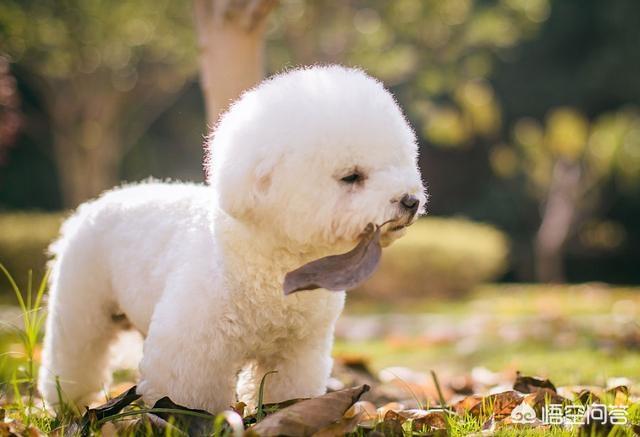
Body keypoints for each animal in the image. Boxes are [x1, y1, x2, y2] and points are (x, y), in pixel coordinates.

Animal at [38, 65, 424, 412]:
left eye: (399, 162)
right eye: (352, 177)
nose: (411, 201)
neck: (276, 260)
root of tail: (93, 205)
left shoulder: (297, 350)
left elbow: (287, 390)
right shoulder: (192, 348)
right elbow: (188, 396)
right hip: (81, 306)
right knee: (75, 353)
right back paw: (66, 404)